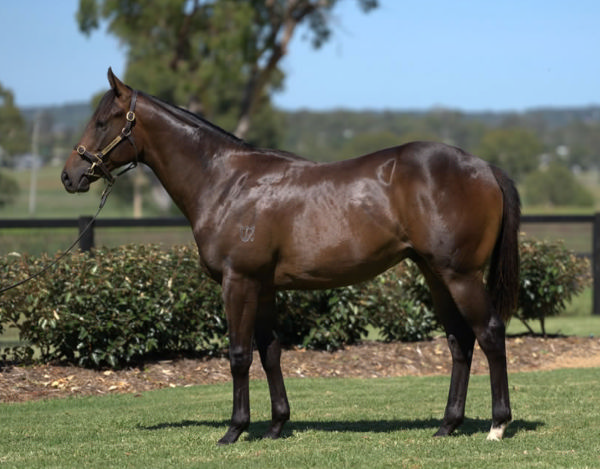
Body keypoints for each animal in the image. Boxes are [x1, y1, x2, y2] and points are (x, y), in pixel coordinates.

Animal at [62, 68, 520, 442]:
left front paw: (234, 430)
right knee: (460, 340)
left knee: (489, 333)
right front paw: (277, 425)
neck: (225, 182)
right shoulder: (263, 287)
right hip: (434, 273)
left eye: (102, 121)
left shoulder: (238, 282)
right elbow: (270, 352)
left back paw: (497, 424)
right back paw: (448, 424)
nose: (70, 175)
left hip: (460, 274)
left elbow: (239, 355)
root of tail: (485, 167)